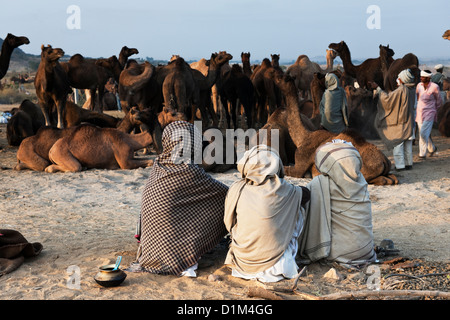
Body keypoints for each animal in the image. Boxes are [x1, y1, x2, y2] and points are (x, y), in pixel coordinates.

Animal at [270, 72, 398, 185]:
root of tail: (384, 161)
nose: (274, 75)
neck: (303, 137)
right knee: (392, 178)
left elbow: (286, 169)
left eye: (282, 78)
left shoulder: (300, 162)